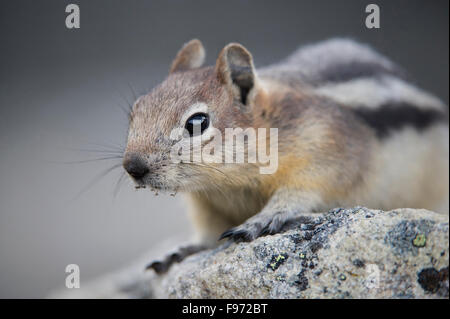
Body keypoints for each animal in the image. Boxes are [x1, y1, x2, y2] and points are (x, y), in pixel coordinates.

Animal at [121, 38, 448, 274]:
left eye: (197, 122)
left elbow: (302, 192)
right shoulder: (206, 203)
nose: (133, 166)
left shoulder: (325, 156)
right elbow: (206, 232)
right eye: (136, 109)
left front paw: (263, 218)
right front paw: (183, 249)